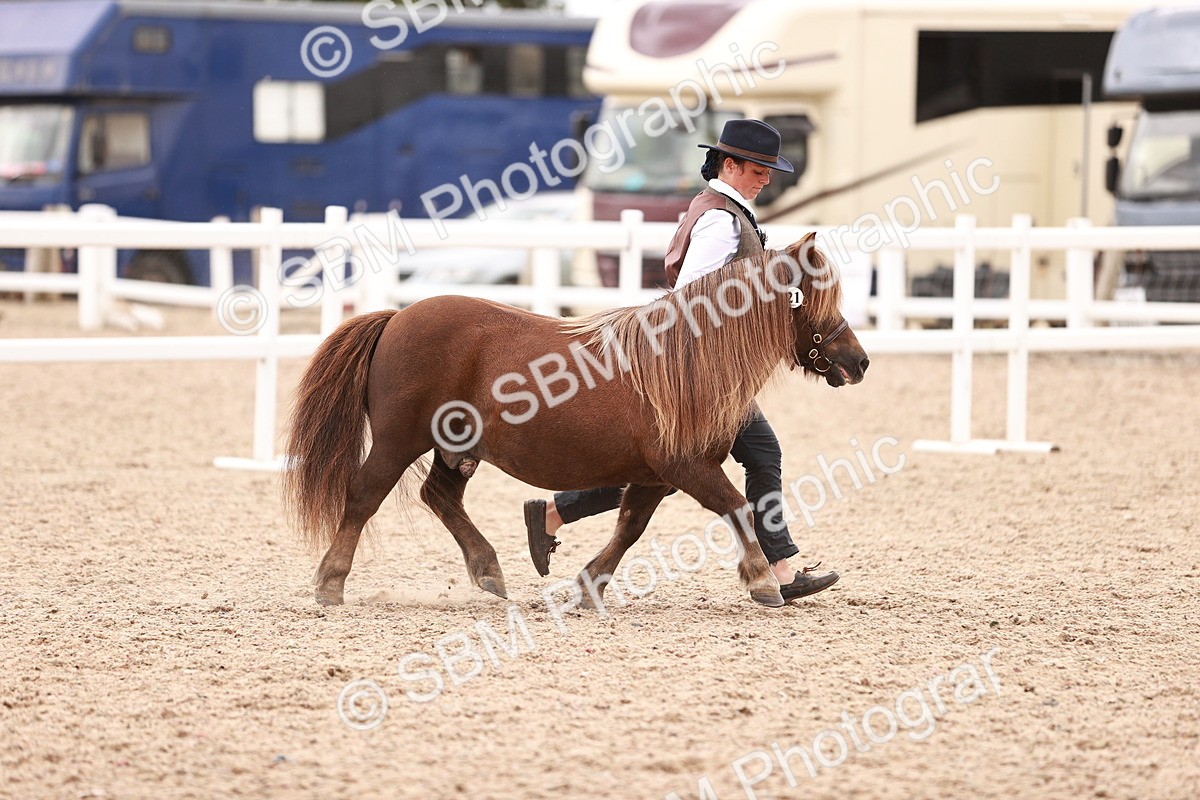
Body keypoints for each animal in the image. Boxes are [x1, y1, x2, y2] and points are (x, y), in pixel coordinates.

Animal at [283, 233, 870, 609]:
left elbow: (629, 526)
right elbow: (739, 508)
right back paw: (331, 583)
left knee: (440, 497)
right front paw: (764, 582)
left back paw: (489, 570)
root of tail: (397, 316)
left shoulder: (656, 477)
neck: (684, 359)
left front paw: (589, 585)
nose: (859, 361)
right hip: (397, 441)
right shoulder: (686, 469)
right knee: (363, 495)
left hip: (457, 448)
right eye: (812, 297)